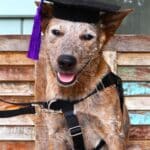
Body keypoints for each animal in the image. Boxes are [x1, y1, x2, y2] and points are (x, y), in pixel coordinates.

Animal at [34, 1, 132, 150]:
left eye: (87, 37)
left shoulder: (113, 133)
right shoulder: (56, 135)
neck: (73, 96)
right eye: (56, 32)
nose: (66, 61)